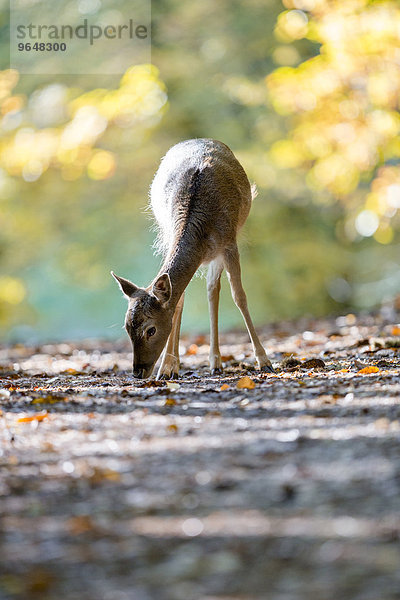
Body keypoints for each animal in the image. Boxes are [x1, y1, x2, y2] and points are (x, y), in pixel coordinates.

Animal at [112, 138, 276, 378]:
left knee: (212, 289)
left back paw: (215, 361)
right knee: (197, 293)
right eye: (126, 327)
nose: (138, 372)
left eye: (151, 330)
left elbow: (239, 296)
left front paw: (264, 361)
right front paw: (167, 369)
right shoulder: (168, 238)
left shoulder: (229, 243)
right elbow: (178, 302)